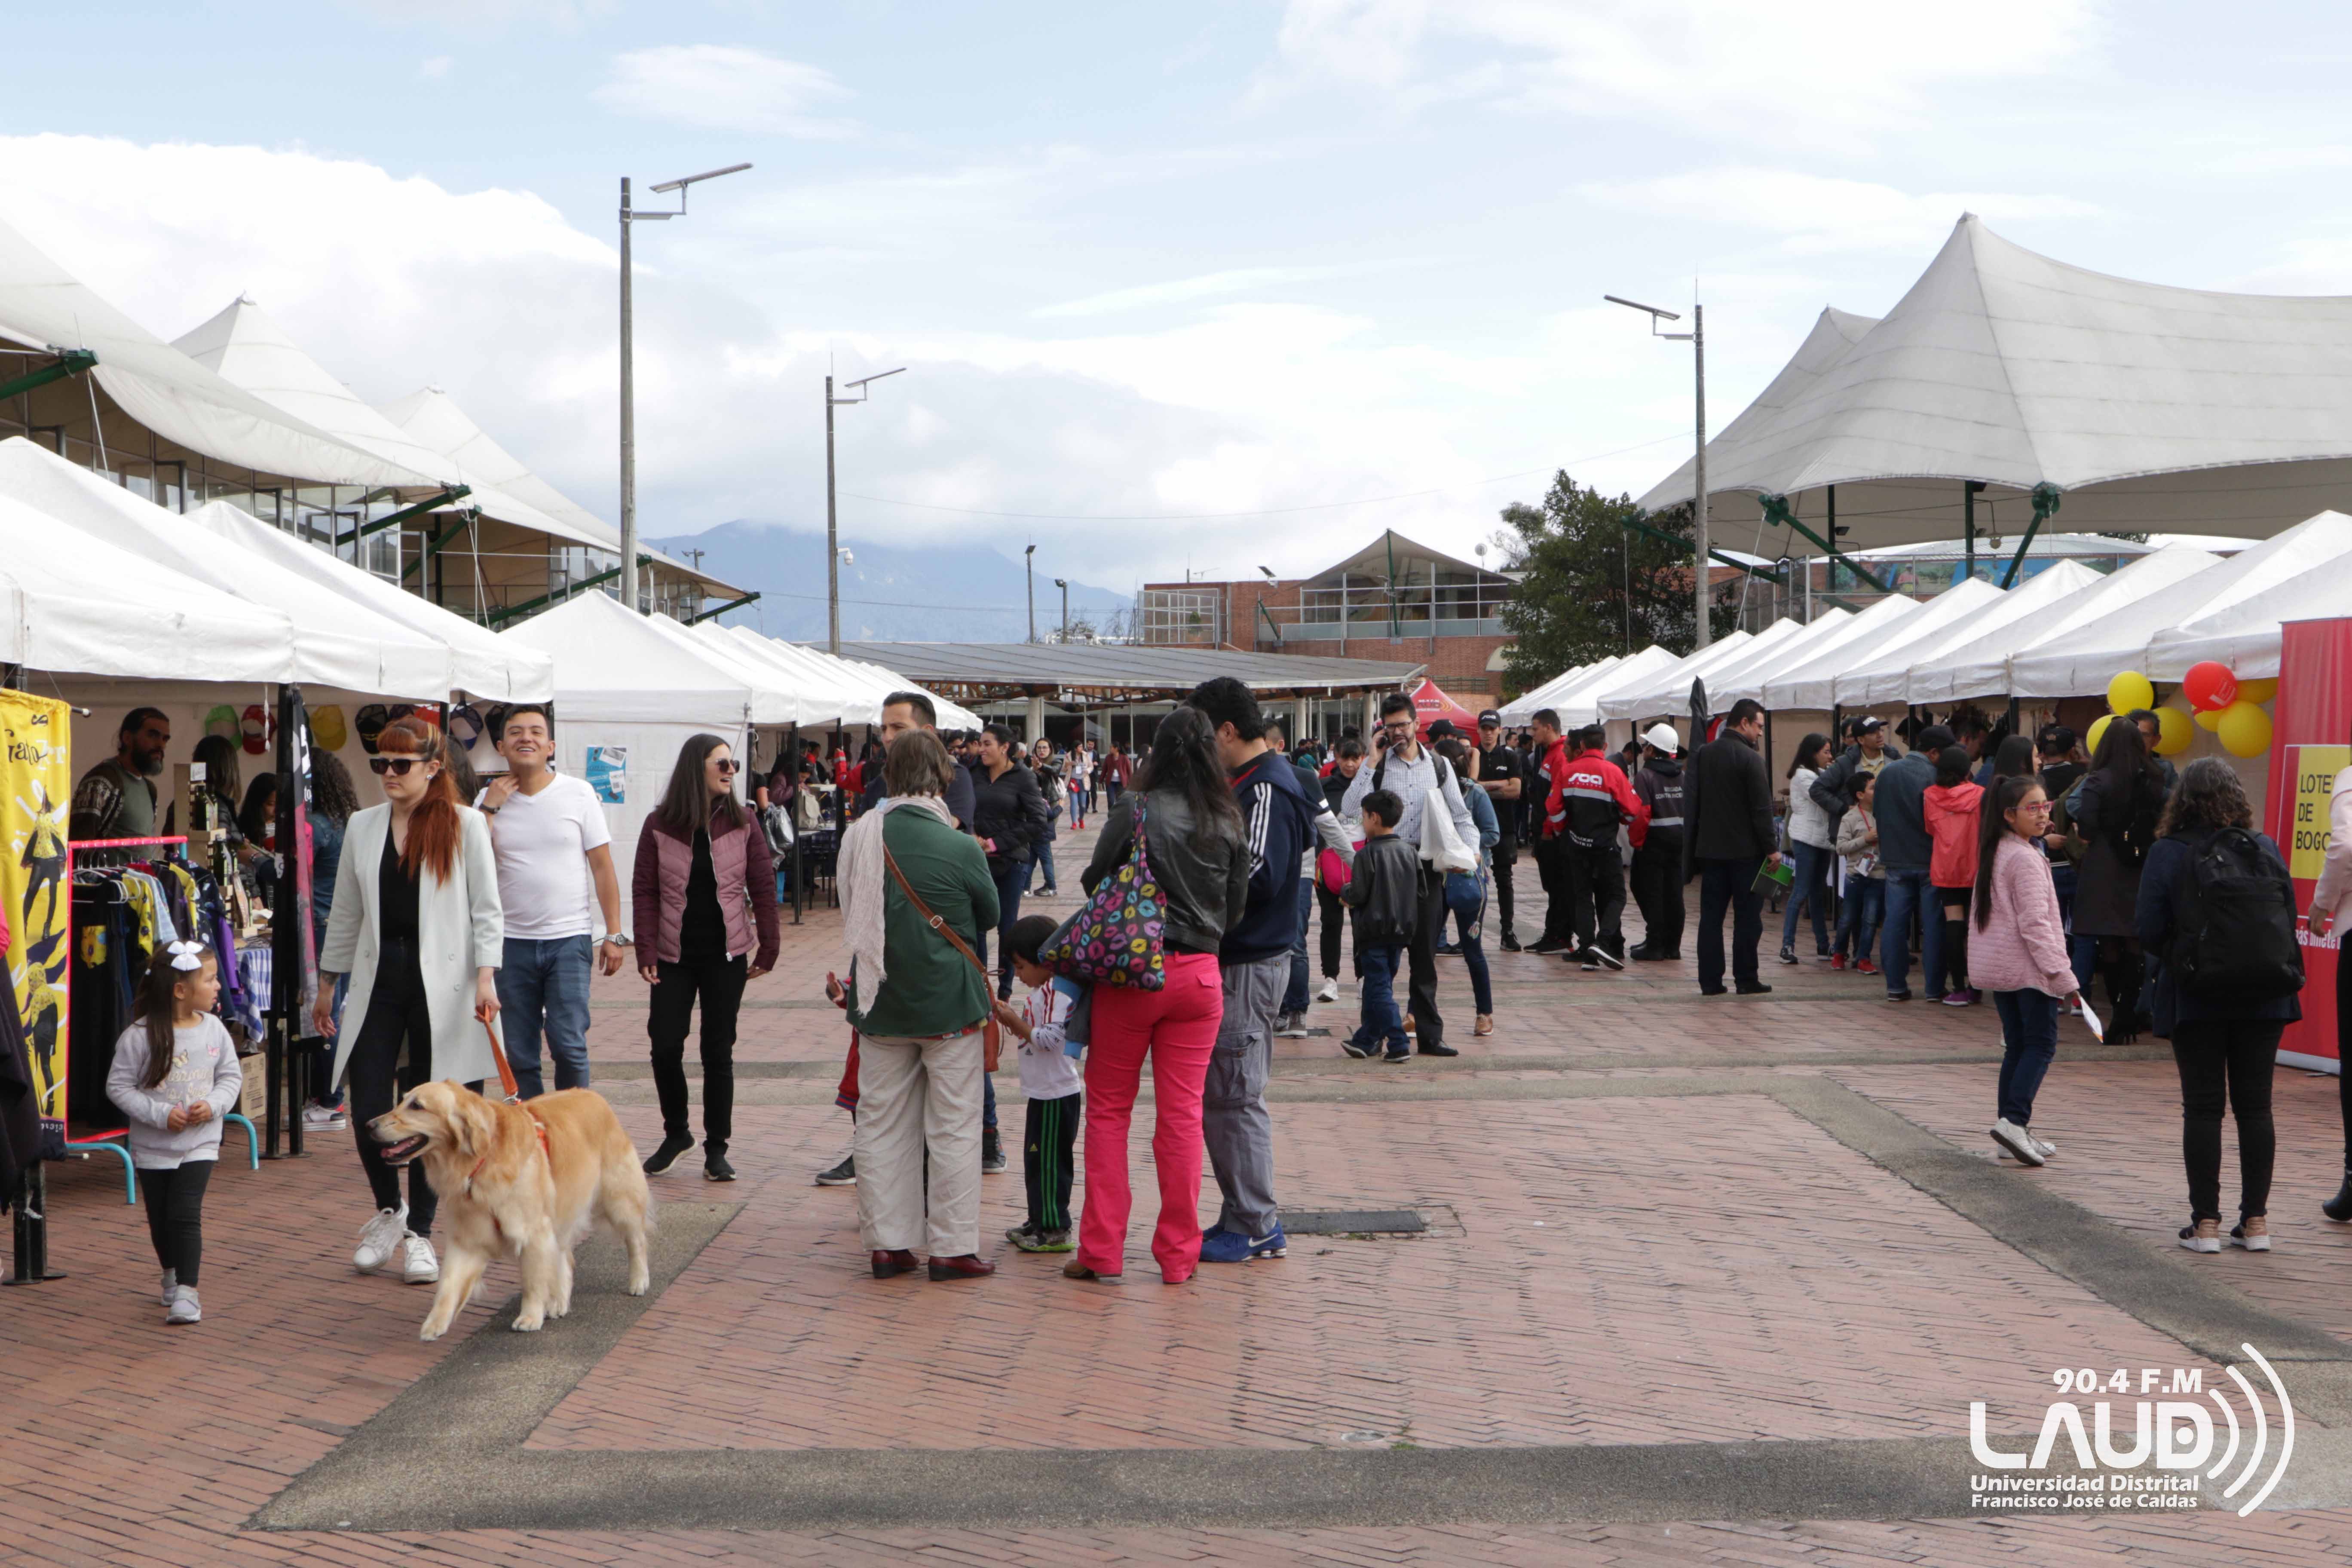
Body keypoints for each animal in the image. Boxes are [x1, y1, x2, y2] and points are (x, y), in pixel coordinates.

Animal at [371, 1086, 658, 1344]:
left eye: (417, 1106)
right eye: (402, 1100)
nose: (369, 1125)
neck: (481, 1161)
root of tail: (594, 1094)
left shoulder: (533, 1233)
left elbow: (532, 1281)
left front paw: (530, 1317)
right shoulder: (469, 1238)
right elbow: (448, 1285)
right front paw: (435, 1323)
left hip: (619, 1201)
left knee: (637, 1241)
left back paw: (639, 1281)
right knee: (565, 1256)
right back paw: (559, 1301)